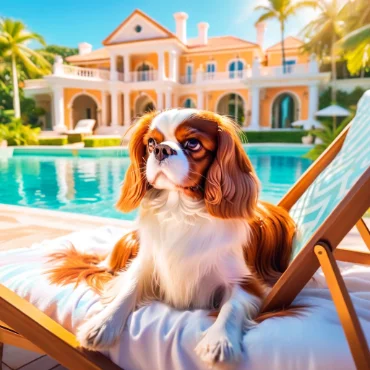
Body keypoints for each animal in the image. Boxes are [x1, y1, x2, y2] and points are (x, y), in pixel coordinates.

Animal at [48, 108, 294, 368]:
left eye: (193, 143)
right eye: (151, 143)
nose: (161, 150)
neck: (180, 209)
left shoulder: (248, 283)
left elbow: (231, 308)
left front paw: (220, 341)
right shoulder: (146, 264)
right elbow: (128, 288)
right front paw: (103, 324)